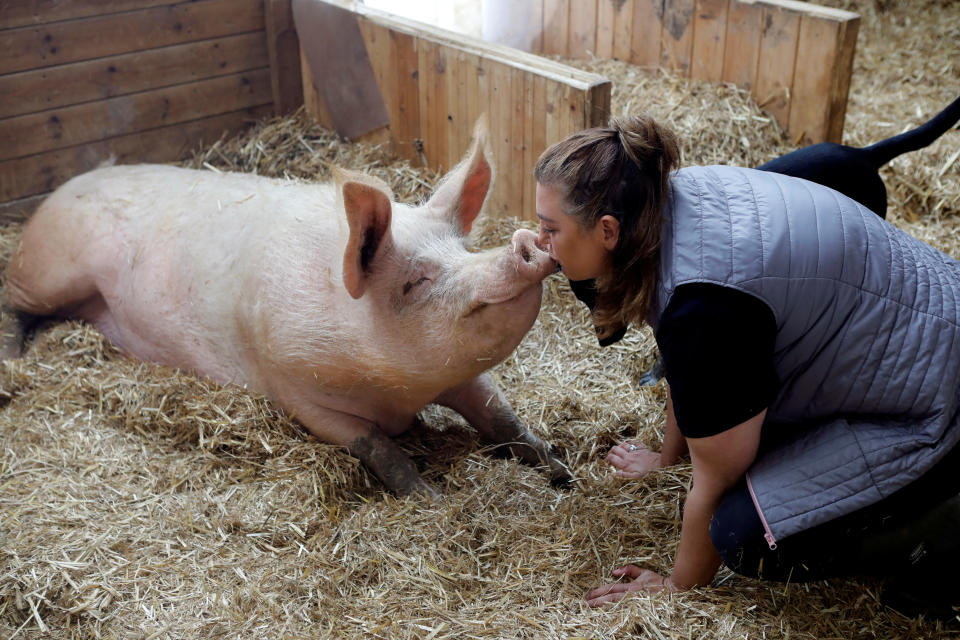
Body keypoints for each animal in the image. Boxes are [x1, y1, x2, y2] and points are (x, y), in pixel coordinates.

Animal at [0, 121, 568, 500]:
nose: (523, 245)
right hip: (48, 272)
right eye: (415, 282)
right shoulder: (295, 391)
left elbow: (503, 417)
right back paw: (13, 358)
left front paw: (563, 471)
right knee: (13, 303)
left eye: (463, 250)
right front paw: (430, 499)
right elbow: (377, 446)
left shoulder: (462, 378)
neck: (401, 394)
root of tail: (56, 194)